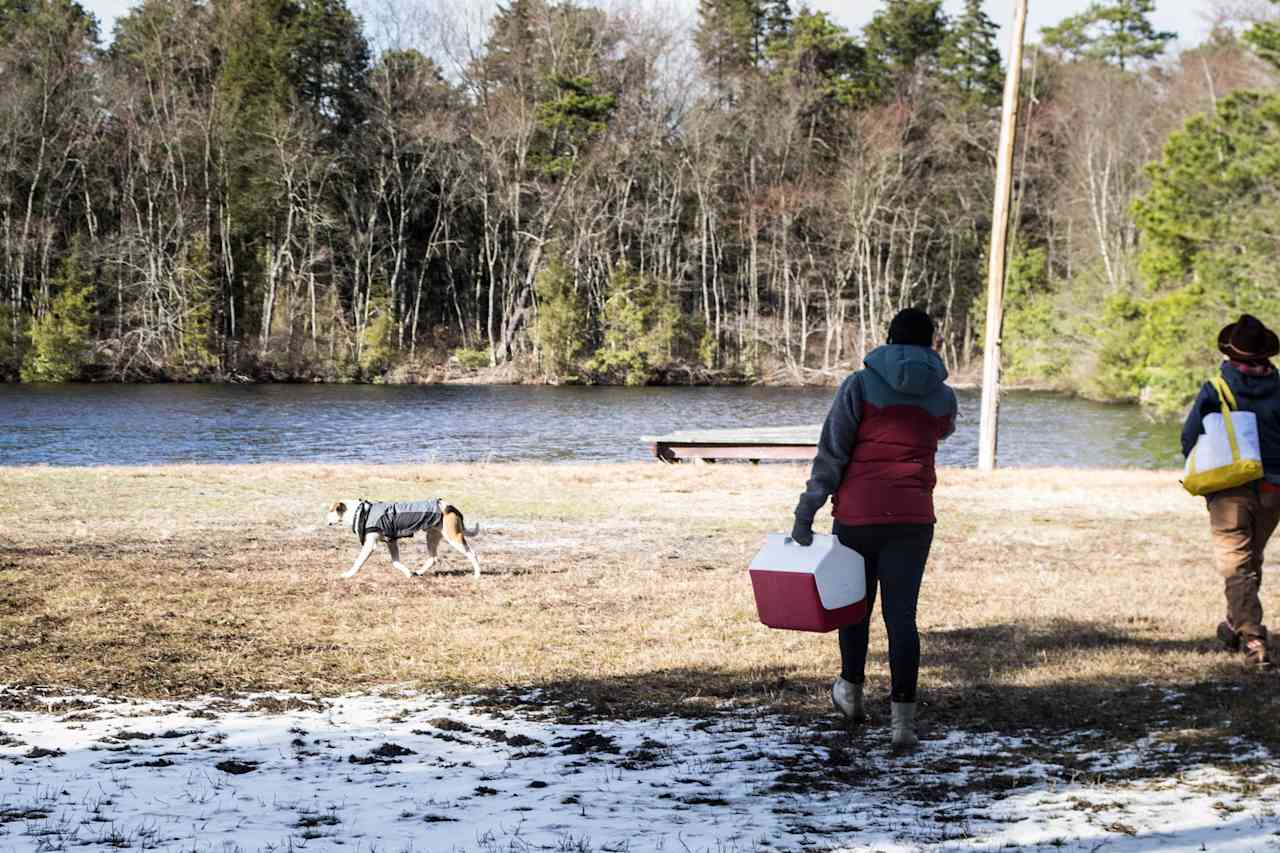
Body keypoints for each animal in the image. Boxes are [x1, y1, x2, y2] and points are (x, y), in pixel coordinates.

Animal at [327, 499, 481, 578]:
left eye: (330, 511)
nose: (325, 519)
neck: (361, 512)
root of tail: (449, 506)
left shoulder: (370, 545)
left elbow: (358, 562)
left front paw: (348, 574)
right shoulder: (391, 542)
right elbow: (396, 562)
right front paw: (408, 573)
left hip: (453, 537)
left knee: (472, 554)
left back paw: (477, 575)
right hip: (432, 536)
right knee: (433, 558)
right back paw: (419, 572)